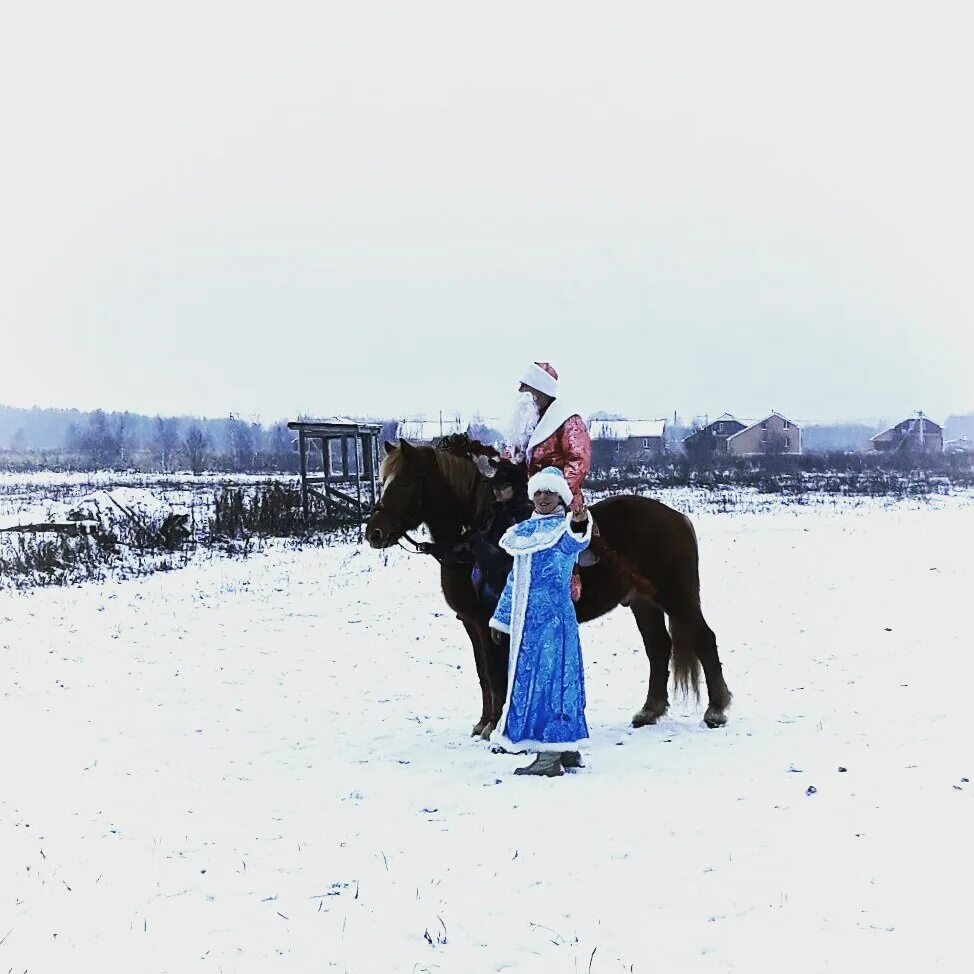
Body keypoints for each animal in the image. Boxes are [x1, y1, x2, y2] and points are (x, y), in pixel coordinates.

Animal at [366, 442, 732, 740]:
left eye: (406, 482)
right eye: (384, 480)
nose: (374, 533)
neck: (473, 543)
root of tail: (677, 517)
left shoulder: (487, 624)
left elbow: (495, 675)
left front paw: (493, 725)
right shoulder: (472, 625)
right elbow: (483, 674)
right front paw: (484, 722)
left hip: (677, 597)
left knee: (703, 638)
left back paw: (716, 710)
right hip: (644, 602)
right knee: (658, 647)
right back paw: (649, 710)